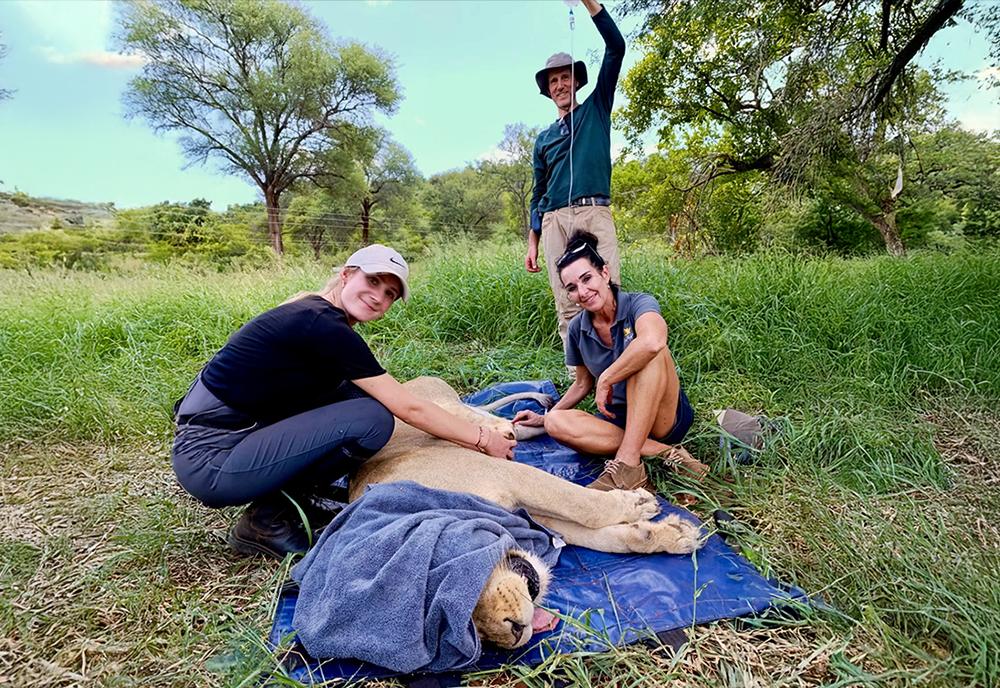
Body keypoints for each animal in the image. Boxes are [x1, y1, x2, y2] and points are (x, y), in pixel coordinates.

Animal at [350, 376, 704, 652]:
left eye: (440, 578)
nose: (515, 633)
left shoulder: (508, 475)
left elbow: (585, 505)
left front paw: (638, 504)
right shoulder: (533, 511)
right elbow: (600, 534)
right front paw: (670, 534)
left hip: (430, 405)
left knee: (480, 420)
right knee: (527, 429)